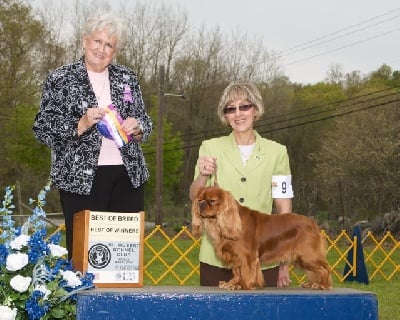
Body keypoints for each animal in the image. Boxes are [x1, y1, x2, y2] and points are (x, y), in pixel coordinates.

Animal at [191, 185, 332, 290]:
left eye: (212, 200)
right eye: (199, 200)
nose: (201, 205)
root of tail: (313, 223)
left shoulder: (247, 256)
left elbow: (246, 272)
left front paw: (242, 285)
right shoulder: (236, 256)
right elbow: (237, 271)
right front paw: (232, 283)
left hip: (308, 255)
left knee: (325, 268)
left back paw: (323, 285)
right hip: (303, 258)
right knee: (315, 271)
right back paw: (312, 283)